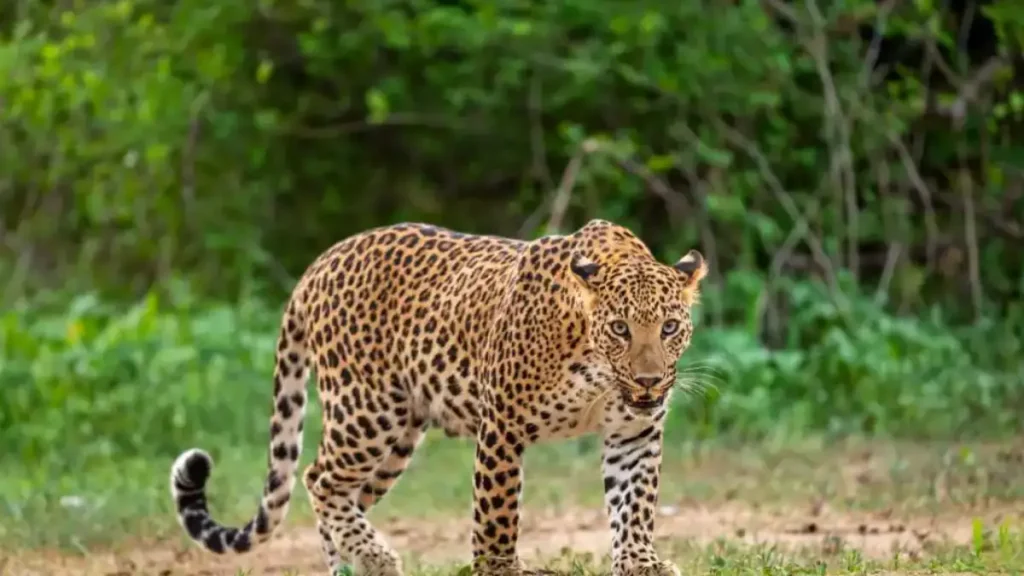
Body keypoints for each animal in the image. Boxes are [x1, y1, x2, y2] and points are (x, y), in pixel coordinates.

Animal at [169, 218, 708, 576]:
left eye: (670, 327)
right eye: (619, 328)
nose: (648, 381)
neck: (596, 367)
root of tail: (318, 264)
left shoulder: (635, 432)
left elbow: (635, 504)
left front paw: (640, 562)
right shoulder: (503, 426)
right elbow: (497, 513)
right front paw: (501, 569)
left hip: (399, 436)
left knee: (345, 495)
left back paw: (352, 565)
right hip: (366, 410)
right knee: (318, 478)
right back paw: (376, 557)